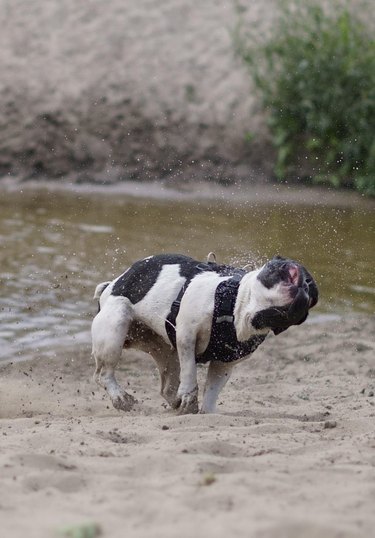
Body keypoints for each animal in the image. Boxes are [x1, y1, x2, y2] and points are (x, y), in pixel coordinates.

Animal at [91, 253, 318, 412]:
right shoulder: (187, 335)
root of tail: (111, 285)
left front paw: (206, 412)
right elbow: (190, 370)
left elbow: (212, 389)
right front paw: (189, 396)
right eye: (279, 268)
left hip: (164, 351)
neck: (242, 311)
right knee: (104, 374)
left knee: (167, 386)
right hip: (115, 326)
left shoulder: (224, 363)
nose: (307, 282)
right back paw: (120, 398)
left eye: (314, 296)